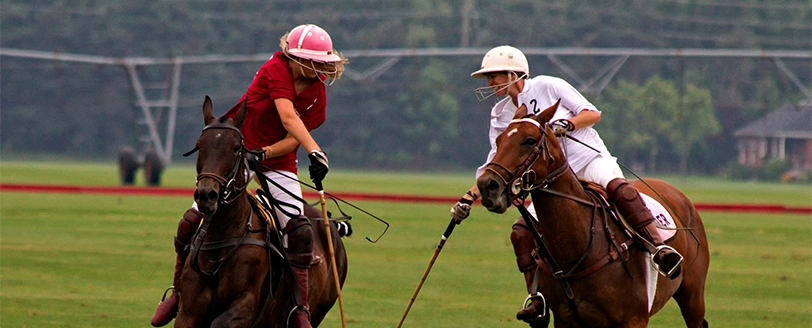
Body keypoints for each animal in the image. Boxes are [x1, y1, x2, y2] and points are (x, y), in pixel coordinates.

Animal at [174, 96, 346, 326]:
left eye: (236, 148)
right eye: (199, 146)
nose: (206, 195)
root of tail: (332, 225)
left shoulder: (244, 307)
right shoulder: (188, 312)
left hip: (319, 309)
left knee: (300, 231)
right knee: (188, 220)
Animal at [478, 101, 708, 326]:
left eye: (529, 140)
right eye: (498, 140)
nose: (487, 185)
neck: (579, 250)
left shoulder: (634, 319)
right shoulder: (565, 319)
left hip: (693, 296)